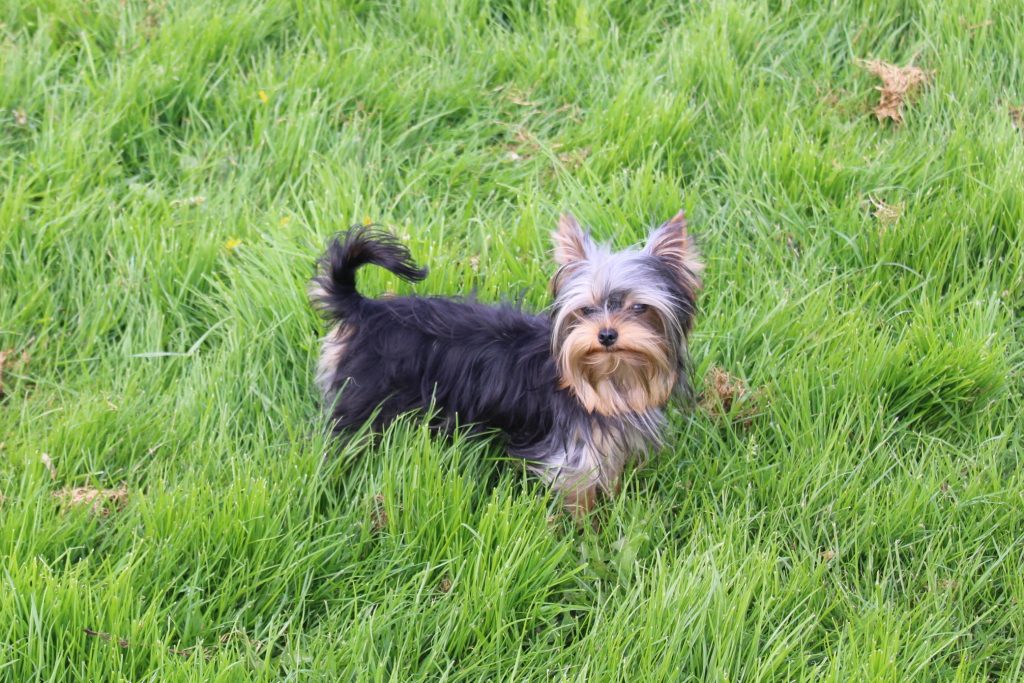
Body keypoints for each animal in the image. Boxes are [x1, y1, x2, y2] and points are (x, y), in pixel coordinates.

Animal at [308, 212, 702, 519]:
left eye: (640, 308)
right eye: (586, 309)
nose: (606, 334)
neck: (611, 377)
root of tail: (366, 310)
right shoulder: (571, 458)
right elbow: (578, 496)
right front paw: (587, 533)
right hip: (362, 404)